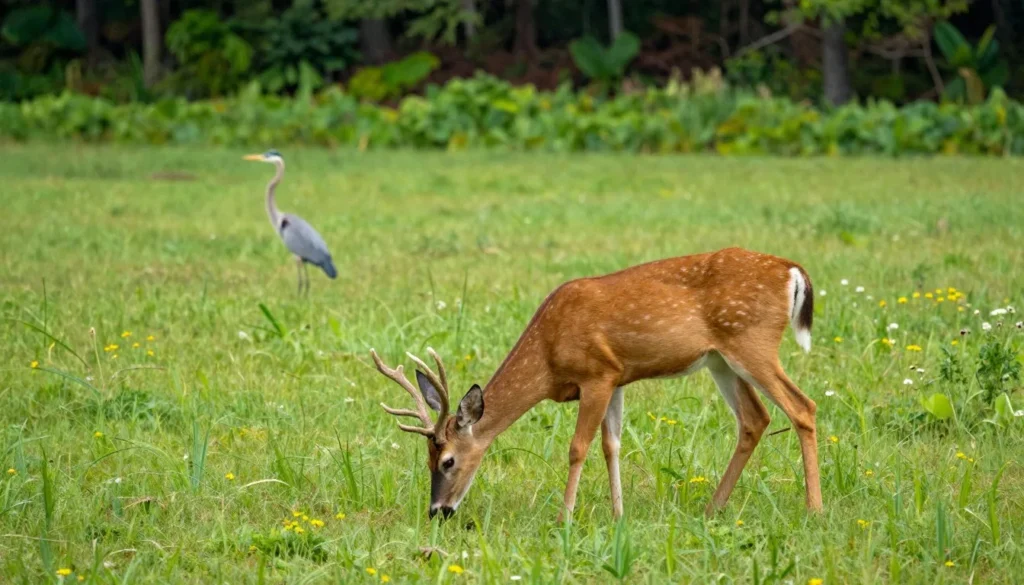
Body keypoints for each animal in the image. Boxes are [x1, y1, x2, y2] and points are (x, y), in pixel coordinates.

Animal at [370, 246, 820, 521]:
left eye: (447, 460)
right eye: (427, 460)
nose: (437, 511)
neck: (548, 354)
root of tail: (793, 272)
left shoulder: (596, 374)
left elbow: (578, 447)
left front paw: (564, 516)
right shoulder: (617, 376)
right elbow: (612, 445)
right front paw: (618, 515)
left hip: (751, 341)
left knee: (803, 406)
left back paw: (813, 509)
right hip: (720, 360)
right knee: (755, 418)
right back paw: (713, 508)